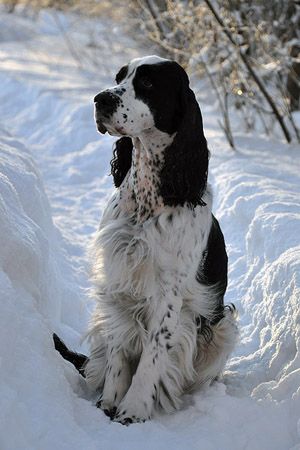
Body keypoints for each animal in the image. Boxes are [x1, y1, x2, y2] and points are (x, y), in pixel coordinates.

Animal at [53, 55, 237, 426]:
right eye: (119, 77)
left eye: (149, 83)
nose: (100, 99)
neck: (148, 202)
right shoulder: (118, 276)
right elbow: (119, 346)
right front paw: (109, 402)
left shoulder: (168, 292)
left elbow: (154, 352)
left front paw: (133, 409)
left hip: (224, 328)